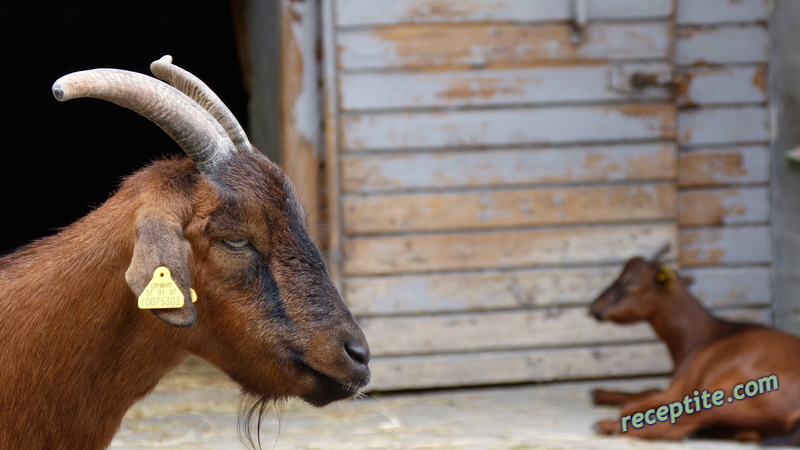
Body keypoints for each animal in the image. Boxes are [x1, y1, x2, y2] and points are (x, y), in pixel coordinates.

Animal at [588, 248, 800, 444]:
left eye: (631, 282)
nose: (595, 307)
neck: (702, 337)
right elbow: (646, 392)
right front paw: (600, 393)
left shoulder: (680, 389)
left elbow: (647, 398)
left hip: (727, 396)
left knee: (677, 427)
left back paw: (607, 426)